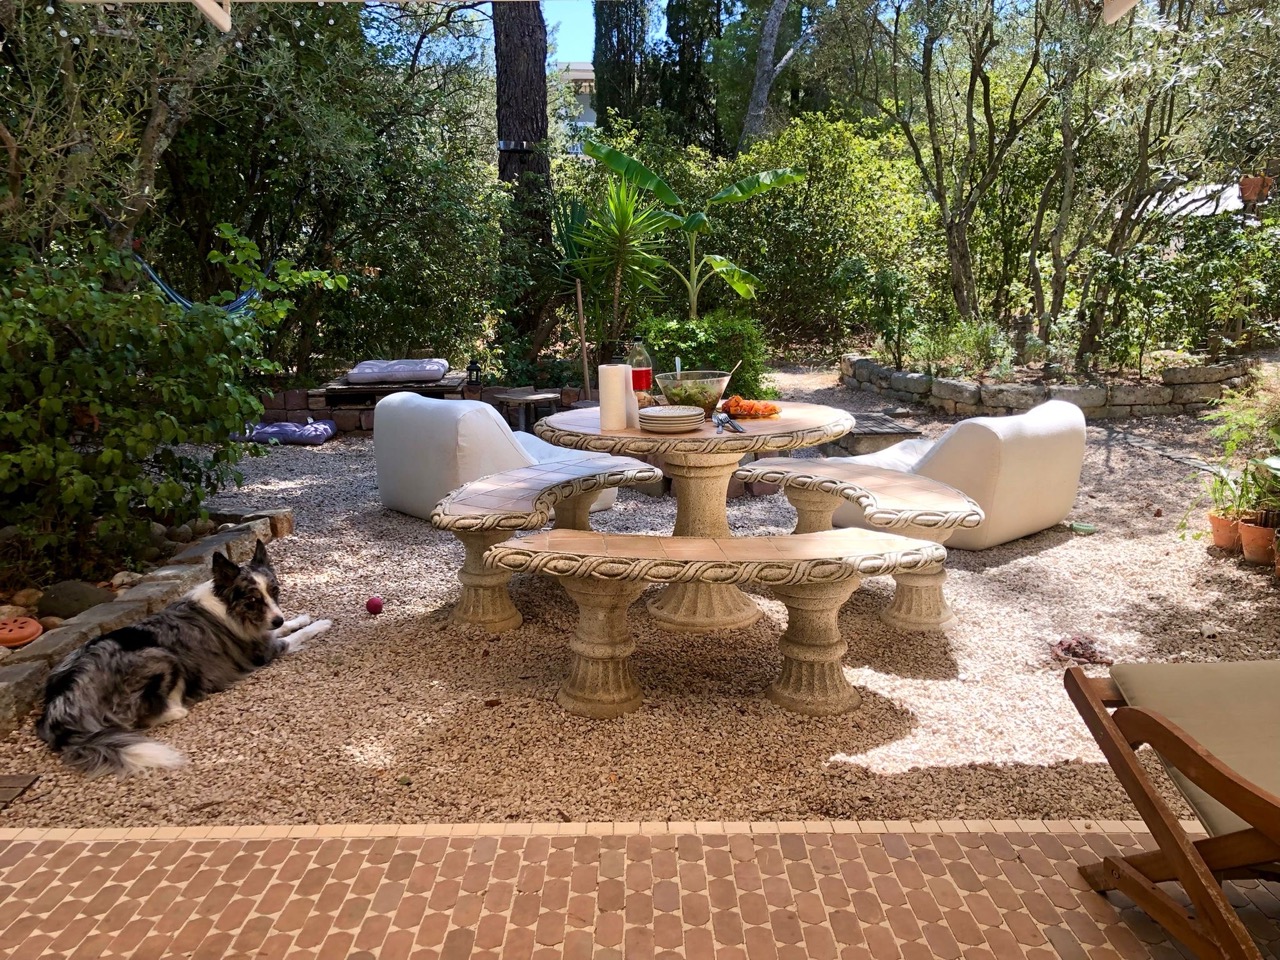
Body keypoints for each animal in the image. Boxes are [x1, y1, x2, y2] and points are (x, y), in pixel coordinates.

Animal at [36, 540, 331, 777]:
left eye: (274, 591)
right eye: (252, 599)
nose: (277, 618)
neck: (229, 607)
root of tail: (61, 701)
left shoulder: (266, 632)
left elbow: (288, 627)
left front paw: (300, 618)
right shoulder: (266, 650)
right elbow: (296, 635)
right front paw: (320, 624)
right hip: (164, 657)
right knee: (151, 715)